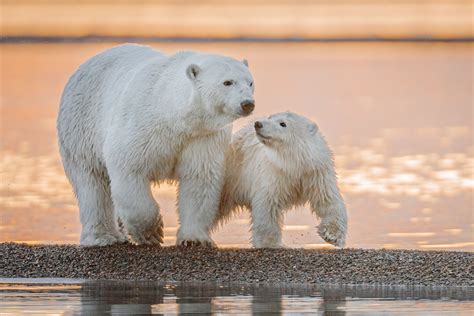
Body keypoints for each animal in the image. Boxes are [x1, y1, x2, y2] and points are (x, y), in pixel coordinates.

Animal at [58, 44, 256, 247]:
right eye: (227, 82)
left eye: (250, 82)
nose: (247, 104)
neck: (172, 113)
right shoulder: (140, 125)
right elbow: (129, 168)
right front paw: (152, 233)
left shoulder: (202, 136)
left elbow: (199, 178)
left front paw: (195, 239)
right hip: (81, 127)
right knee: (92, 182)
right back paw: (104, 237)